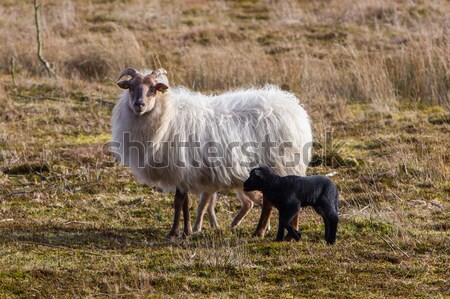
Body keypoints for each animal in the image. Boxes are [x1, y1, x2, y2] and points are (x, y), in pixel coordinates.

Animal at [110, 67, 312, 239]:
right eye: (131, 87)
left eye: (153, 88)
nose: (139, 105)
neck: (167, 116)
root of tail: (294, 109)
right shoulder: (184, 173)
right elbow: (185, 202)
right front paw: (187, 231)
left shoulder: (181, 168)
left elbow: (179, 201)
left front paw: (175, 233)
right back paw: (274, 232)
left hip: (278, 164)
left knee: (271, 201)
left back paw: (264, 232)